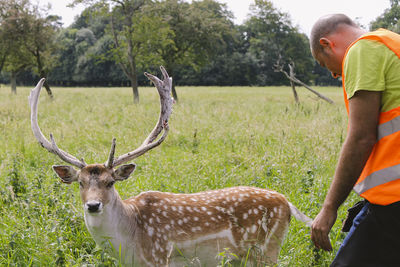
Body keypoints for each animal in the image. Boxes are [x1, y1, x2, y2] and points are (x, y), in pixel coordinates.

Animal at [29, 66, 314, 266]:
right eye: (80, 182)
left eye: (110, 182)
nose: (93, 205)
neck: (131, 242)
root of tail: (287, 203)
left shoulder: (160, 256)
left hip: (267, 249)